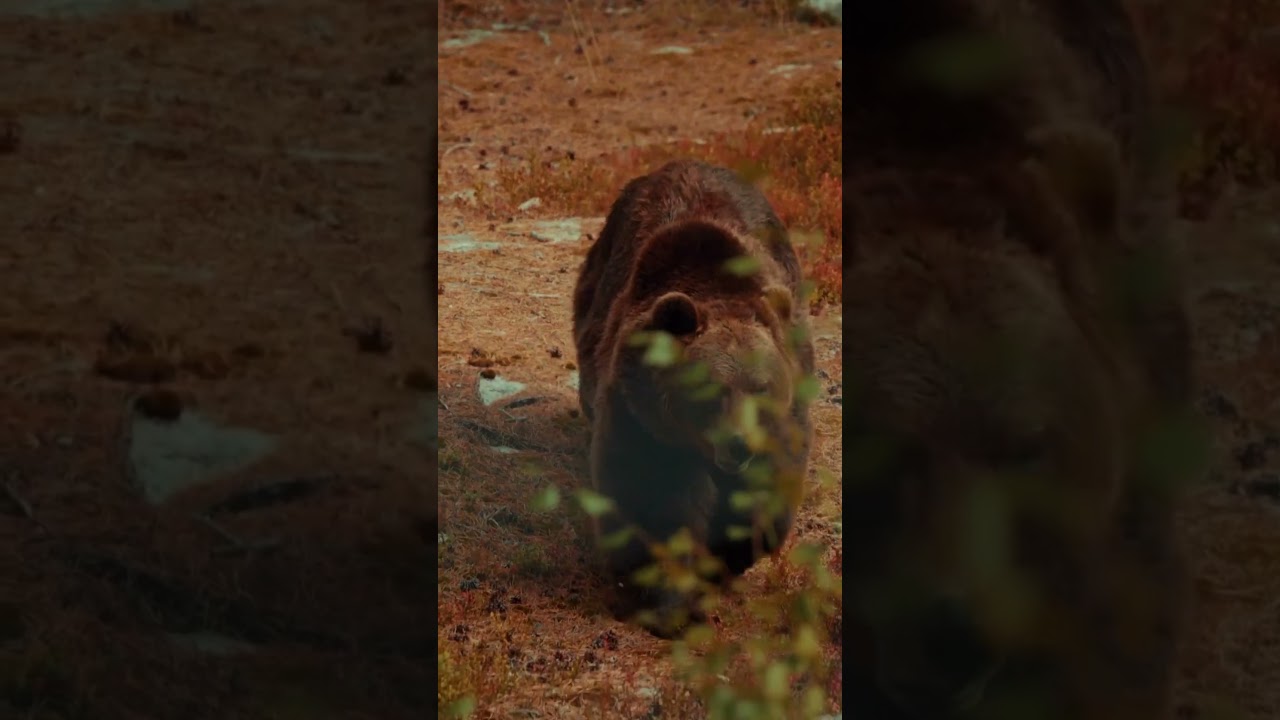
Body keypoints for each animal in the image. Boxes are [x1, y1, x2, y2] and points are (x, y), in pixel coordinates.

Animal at [571, 160, 816, 638]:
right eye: (713, 390)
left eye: (762, 388)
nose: (739, 445)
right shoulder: (643, 419)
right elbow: (653, 503)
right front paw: (664, 600)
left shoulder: (783, 420)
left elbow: (762, 500)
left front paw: (727, 559)